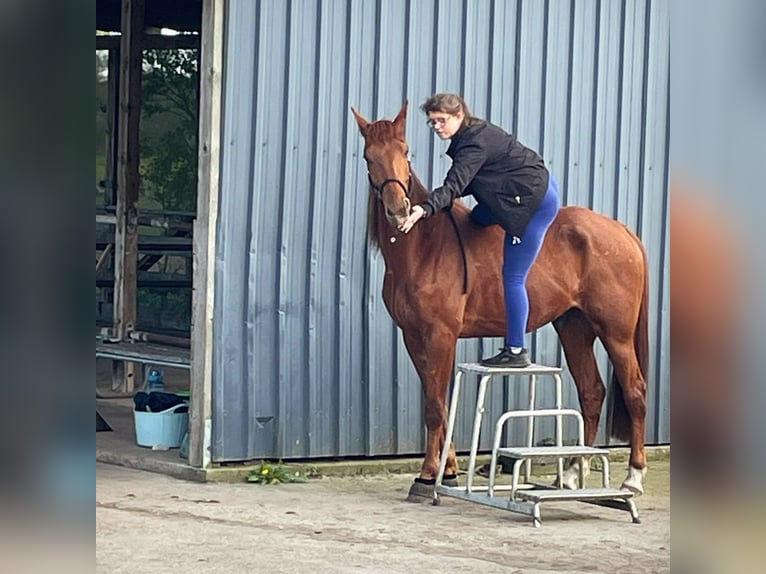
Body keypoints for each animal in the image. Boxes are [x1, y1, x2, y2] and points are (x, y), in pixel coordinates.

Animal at [352, 103, 652, 504]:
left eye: (405, 152)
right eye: (369, 157)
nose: (400, 209)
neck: (424, 245)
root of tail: (622, 231)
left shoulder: (440, 335)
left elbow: (434, 407)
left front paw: (427, 476)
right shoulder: (414, 338)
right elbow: (438, 403)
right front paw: (447, 472)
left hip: (615, 334)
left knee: (635, 392)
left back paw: (632, 477)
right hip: (575, 328)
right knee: (592, 392)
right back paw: (573, 473)